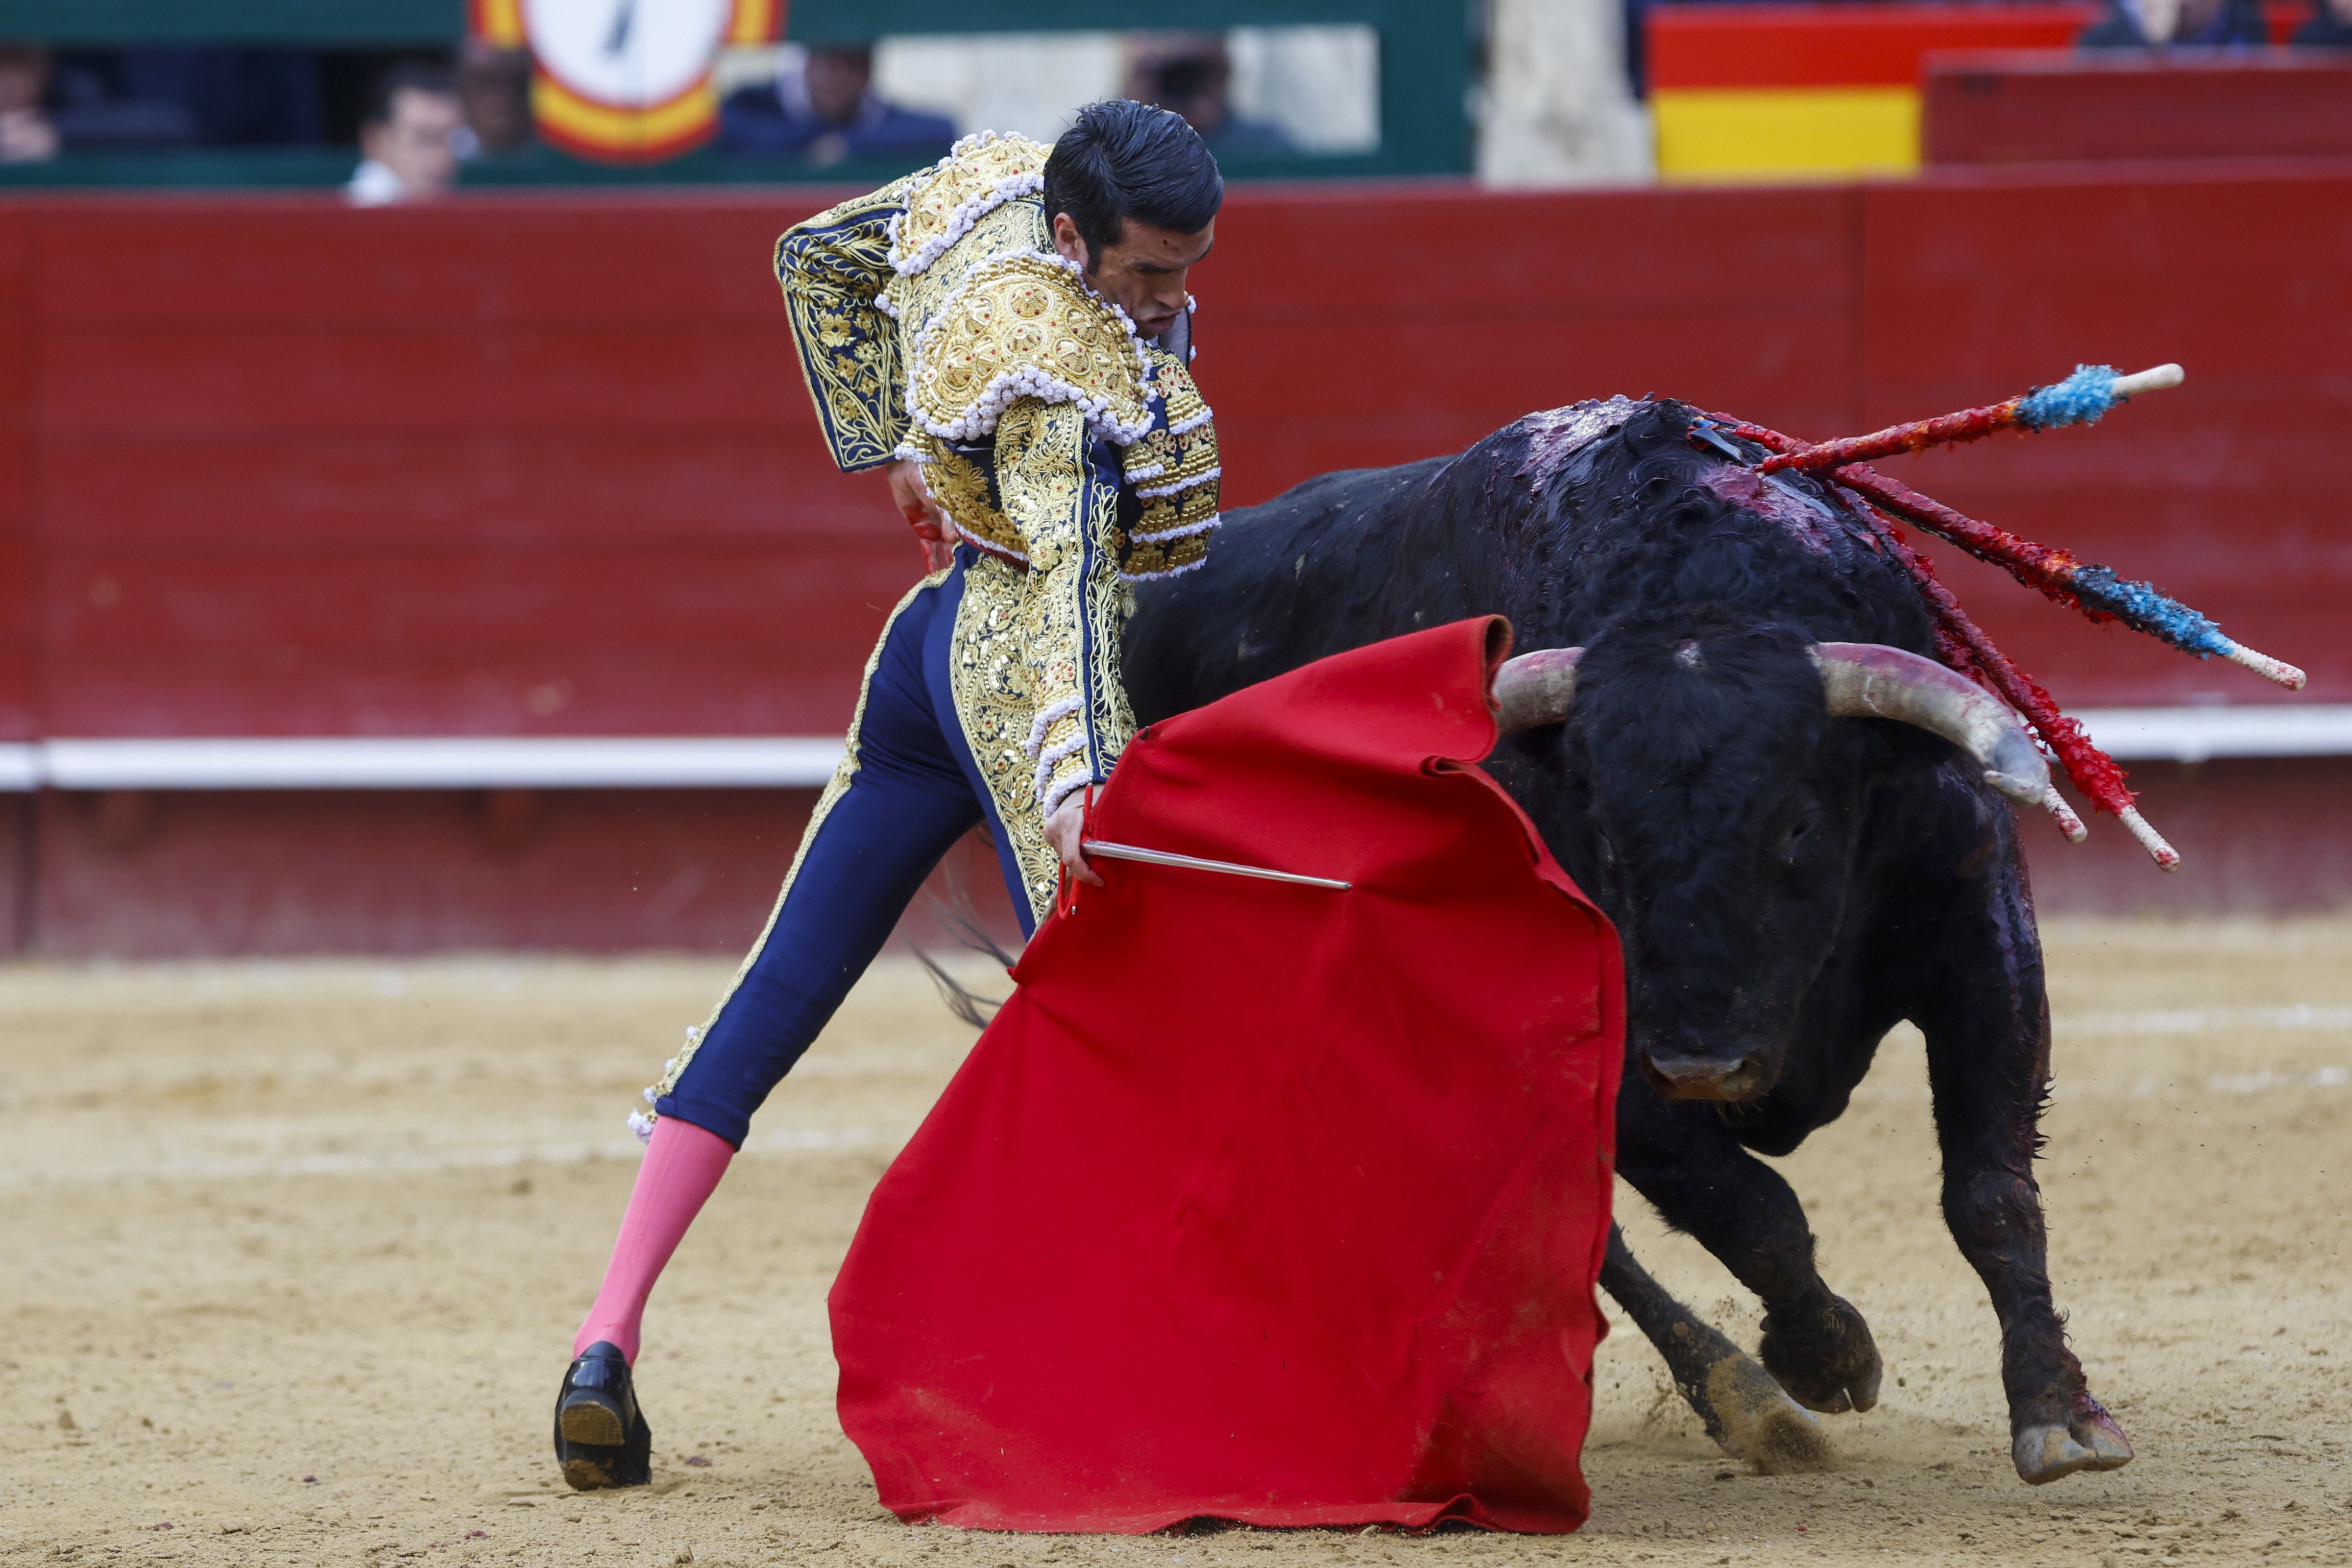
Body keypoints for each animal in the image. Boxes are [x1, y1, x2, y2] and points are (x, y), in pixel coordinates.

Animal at [1119, 395, 2135, 1486]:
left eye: (1799, 824)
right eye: (1604, 829)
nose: (1703, 1065)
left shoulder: (1978, 936)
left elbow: (1991, 1191)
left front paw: (2060, 1412)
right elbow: (1749, 1207)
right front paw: (1824, 1357)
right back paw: (1746, 1401)